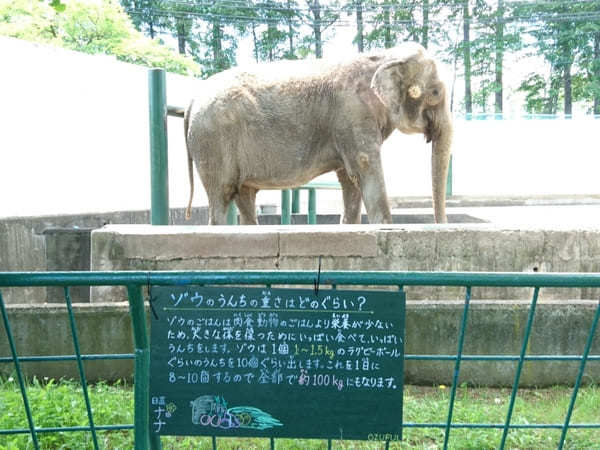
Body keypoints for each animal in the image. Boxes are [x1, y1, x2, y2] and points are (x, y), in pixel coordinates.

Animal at [185, 41, 452, 225]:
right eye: (436, 92)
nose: (439, 226)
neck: (387, 55)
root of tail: (193, 100)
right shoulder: (353, 114)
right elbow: (365, 167)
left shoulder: (350, 124)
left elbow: (350, 179)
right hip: (213, 141)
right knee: (222, 195)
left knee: (245, 195)